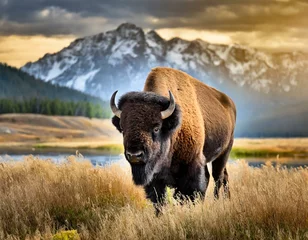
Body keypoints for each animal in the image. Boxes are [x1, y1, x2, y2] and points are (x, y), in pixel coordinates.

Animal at [110, 67, 236, 206]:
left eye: (156, 128)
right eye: (122, 129)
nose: (134, 155)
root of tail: (230, 103)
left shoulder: (192, 165)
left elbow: (190, 193)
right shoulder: (155, 176)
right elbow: (159, 199)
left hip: (224, 152)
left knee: (217, 176)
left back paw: (217, 201)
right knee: (222, 176)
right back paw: (227, 199)